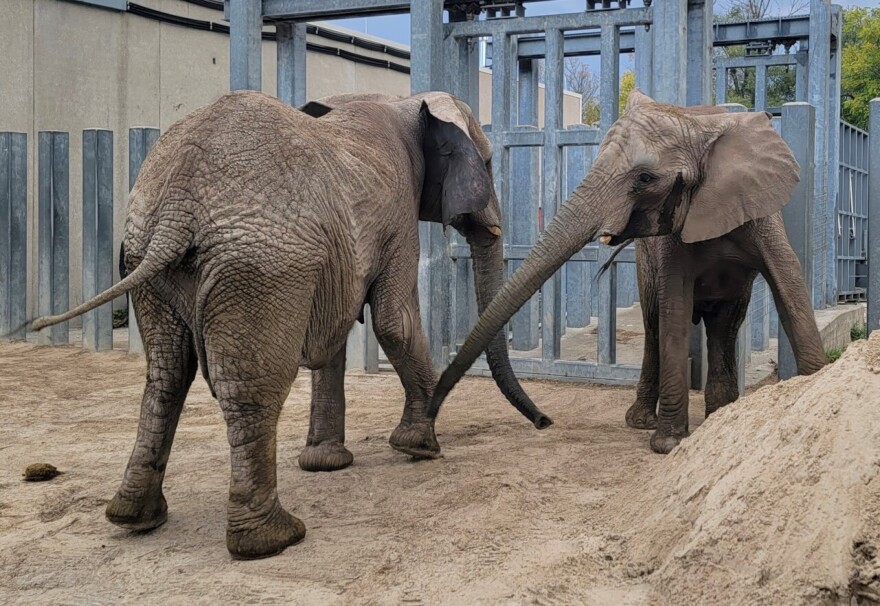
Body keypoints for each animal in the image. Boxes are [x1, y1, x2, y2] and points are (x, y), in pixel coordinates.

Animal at [32, 89, 552, 560]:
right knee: (252, 385)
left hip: (148, 255)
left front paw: (326, 464)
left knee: (166, 373)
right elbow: (394, 322)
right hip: (261, 264)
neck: (406, 101)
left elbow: (337, 334)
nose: (544, 423)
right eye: (488, 164)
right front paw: (422, 448)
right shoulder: (397, 214)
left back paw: (135, 518)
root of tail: (179, 198)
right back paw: (272, 540)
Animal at [430, 91, 828, 456]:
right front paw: (668, 444)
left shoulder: (761, 213)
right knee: (655, 322)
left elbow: (790, 287)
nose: (544, 421)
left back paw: (719, 413)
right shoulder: (669, 240)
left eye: (645, 178)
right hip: (644, 262)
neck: (699, 126)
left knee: (724, 324)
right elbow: (674, 307)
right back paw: (644, 421)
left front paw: (816, 383)